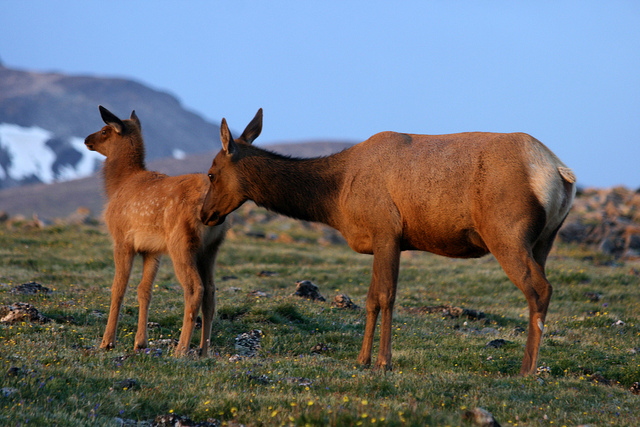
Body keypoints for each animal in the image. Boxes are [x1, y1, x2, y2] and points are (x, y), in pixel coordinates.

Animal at [85, 107, 229, 358]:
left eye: (104, 130)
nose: (86, 140)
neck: (118, 185)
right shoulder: (151, 249)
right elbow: (144, 291)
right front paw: (140, 343)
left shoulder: (122, 239)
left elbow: (118, 288)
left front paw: (107, 342)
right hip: (211, 247)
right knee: (211, 290)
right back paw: (203, 351)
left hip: (181, 242)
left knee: (195, 289)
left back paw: (181, 349)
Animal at [200, 109, 576, 374]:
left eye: (211, 173)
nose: (205, 214)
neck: (335, 197)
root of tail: (560, 172)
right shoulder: (382, 239)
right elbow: (370, 299)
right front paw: (363, 359)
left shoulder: (386, 230)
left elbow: (385, 296)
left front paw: (383, 361)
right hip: (544, 240)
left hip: (506, 232)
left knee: (540, 289)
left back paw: (526, 369)